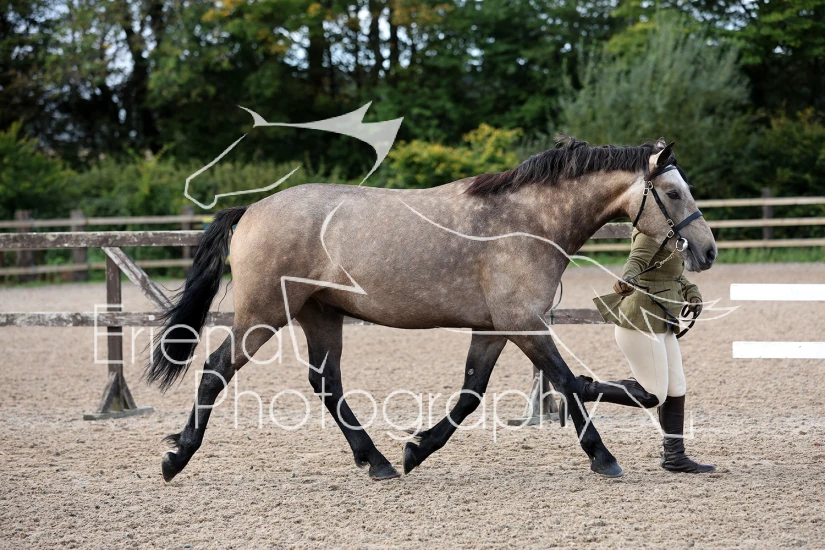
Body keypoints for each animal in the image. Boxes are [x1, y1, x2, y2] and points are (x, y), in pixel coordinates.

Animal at [146, 135, 717, 482]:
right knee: (216, 369)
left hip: (321, 315)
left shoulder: (495, 329)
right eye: (672, 192)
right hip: (263, 314)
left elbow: (472, 393)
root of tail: (250, 210)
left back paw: (376, 461)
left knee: (326, 383)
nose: (708, 251)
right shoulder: (525, 325)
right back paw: (177, 457)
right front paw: (604, 457)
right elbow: (567, 381)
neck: (527, 221)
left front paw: (416, 449)